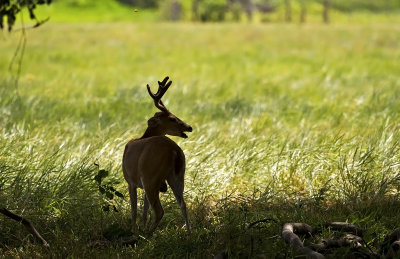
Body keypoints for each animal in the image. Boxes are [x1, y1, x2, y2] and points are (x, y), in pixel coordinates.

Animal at [122, 76, 192, 236]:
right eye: (172, 118)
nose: (189, 127)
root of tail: (174, 150)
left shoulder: (131, 181)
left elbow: (134, 210)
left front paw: (134, 231)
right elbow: (144, 211)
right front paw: (141, 227)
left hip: (151, 177)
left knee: (160, 211)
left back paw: (148, 234)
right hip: (177, 176)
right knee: (183, 204)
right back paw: (189, 233)